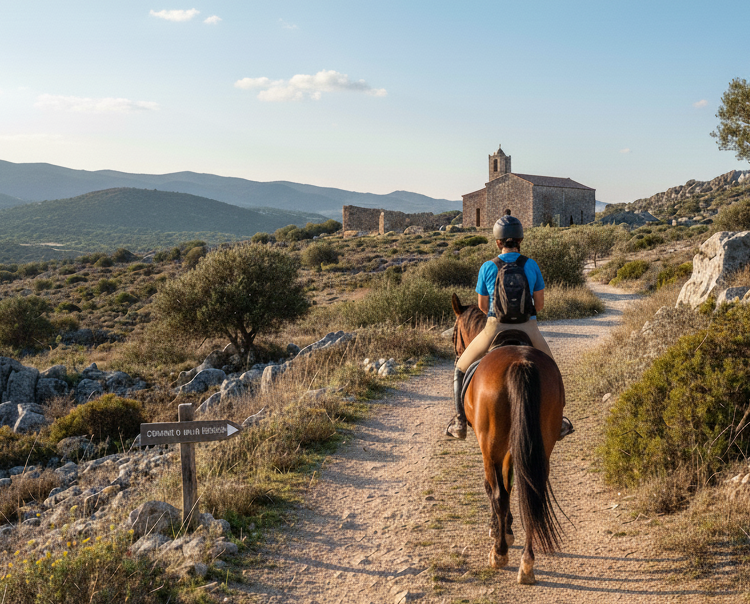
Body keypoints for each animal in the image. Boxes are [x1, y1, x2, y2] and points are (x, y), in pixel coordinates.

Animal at [451, 293, 565, 585]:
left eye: (454, 334)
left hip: (491, 445)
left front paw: (498, 530)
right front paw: (509, 529)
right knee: (531, 492)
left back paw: (500, 554)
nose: (456, 352)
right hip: (541, 443)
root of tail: (519, 363)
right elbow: (511, 483)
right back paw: (527, 564)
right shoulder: (514, 449)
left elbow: (493, 488)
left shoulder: (489, 449)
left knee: (499, 493)